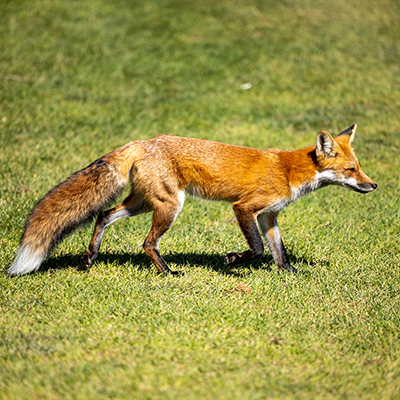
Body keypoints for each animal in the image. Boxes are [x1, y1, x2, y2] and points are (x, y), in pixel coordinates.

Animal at [10, 124, 378, 276]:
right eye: (351, 170)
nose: (373, 185)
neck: (289, 171)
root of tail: (143, 141)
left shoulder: (269, 216)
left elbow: (278, 250)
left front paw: (290, 272)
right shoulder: (245, 208)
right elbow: (258, 249)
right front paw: (233, 261)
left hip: (143, 203)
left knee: (102, 215)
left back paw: (90, 258)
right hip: (170, 206)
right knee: (147, 243)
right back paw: (168, 273)